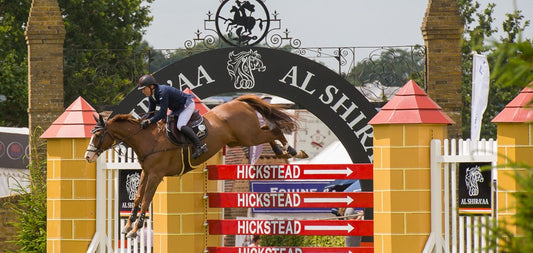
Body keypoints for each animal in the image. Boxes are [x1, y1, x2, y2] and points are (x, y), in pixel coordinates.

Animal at [84, 94, 306, 238]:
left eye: (97, 134)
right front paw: (128, 226)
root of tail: (237, 101)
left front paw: (135, 229)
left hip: (248, 136)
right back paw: (281, 151)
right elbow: (138, 196)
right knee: (269, 129)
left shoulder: (156, 174)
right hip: (241, 138)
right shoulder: (146, 172)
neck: (147, 139)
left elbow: (146, 199)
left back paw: (293, 151)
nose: (87, 156)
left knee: (274, 130)